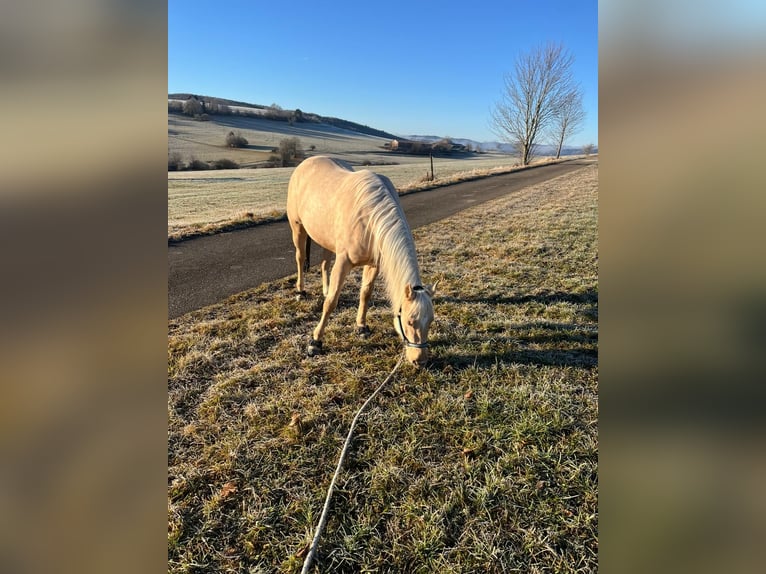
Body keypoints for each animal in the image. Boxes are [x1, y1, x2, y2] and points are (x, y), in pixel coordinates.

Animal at [286, 156, 435, 367]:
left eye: (430, 321)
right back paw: (300, 291)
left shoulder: (373, 264)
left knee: (324, 264)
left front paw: (361, 327)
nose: (419, 361)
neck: (370, 217)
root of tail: (305, 163)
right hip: (298, 228)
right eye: (409, 321)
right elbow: (331, 302)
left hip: (326, 238)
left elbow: (365, 293)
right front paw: (315, 342)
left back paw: (324, 289)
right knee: (300, 259)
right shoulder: (343, 262)